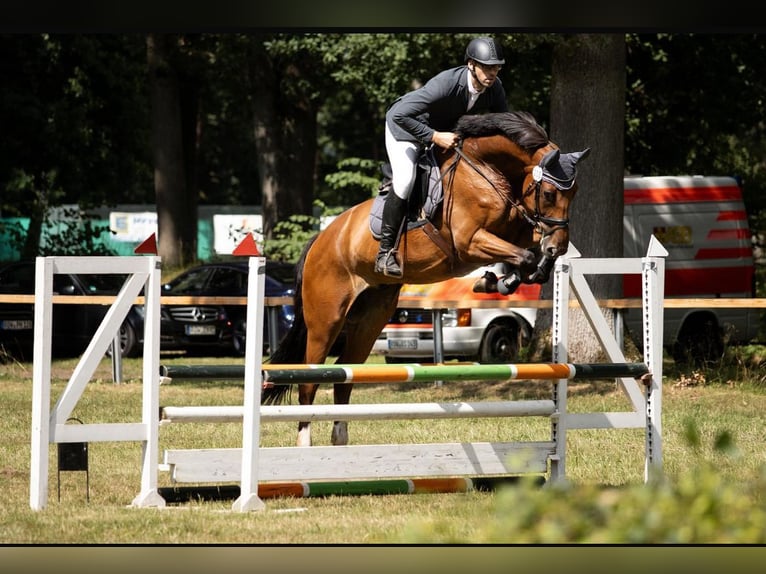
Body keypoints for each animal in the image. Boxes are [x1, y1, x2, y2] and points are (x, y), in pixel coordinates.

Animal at [263, 110, 590, 447]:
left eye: (575, 192)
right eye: (549, 193)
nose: (558, 246)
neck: (487, 170)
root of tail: (320, 240)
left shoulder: (517, 229)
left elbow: (528, 252)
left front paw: (505, 278)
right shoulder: (469, 241)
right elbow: (522, 255)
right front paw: (499, 280)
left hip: (369, 321)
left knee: (344, 376)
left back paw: (339, 439)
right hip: (326, 320)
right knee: (309, 381)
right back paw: (305, 444)